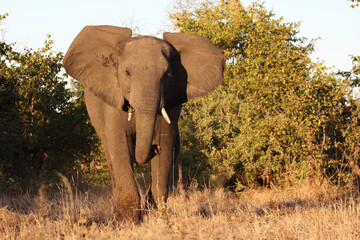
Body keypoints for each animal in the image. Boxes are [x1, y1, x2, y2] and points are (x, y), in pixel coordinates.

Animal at [62, 25, 225, 222]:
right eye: (127, 73)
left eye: (167, 75)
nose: (154, 148)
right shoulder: (113, 100)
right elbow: (121, 147)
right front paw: (128, 222)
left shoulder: (171, 105)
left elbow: (166, 148)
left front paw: (158, 217)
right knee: (111, 158)